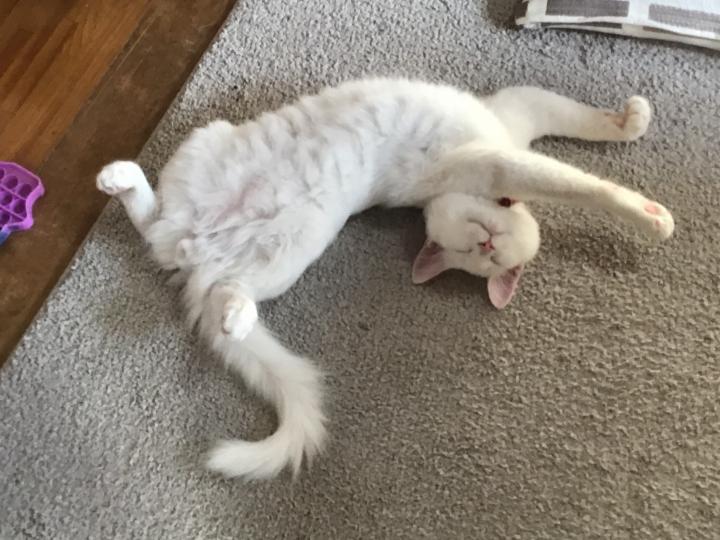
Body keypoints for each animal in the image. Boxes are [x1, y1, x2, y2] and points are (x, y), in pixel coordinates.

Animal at [96, 78, 674, 481]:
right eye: (475, 251)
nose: (488, 242)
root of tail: (196, 251)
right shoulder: (510, 131)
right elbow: (578, 157)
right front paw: (641, 170)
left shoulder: (500, 146)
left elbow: (575, 161)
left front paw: (639, 175)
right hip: (209, 143)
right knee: (157, 222)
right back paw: (119, 177)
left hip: (293, 242)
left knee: (188, 256)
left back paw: (230, 310)